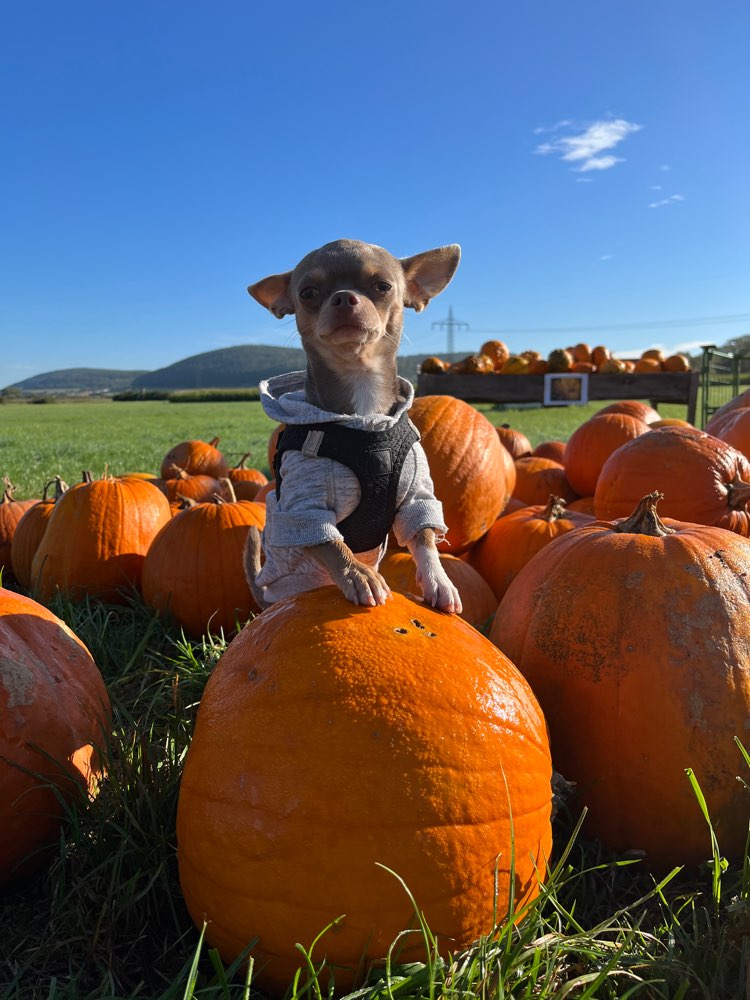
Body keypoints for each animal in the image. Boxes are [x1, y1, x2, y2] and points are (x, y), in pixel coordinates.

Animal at [244, 238, 464, 612]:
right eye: (307, 292)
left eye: (383, 286)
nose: (344, 297)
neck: (364, 415)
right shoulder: (303, 509)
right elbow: (330, 542)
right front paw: (358, 574)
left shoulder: (416, 493)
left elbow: (424, 534)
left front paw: (440, 581)